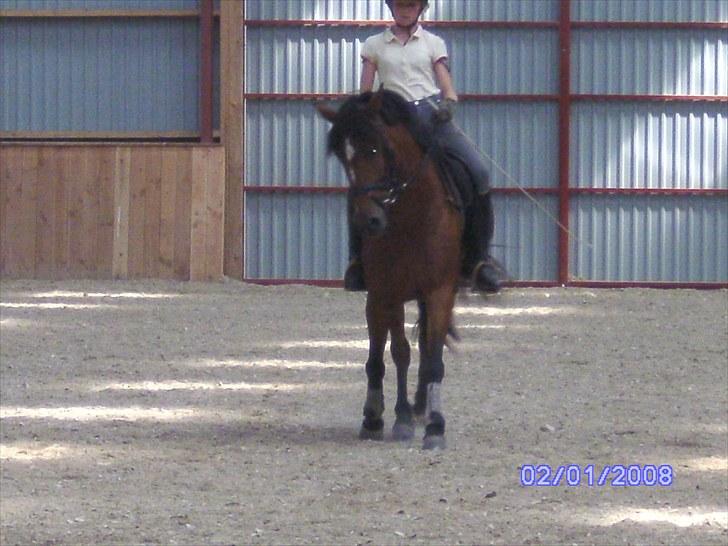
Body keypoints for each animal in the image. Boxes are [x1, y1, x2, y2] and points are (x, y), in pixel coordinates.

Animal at [317, 90, 464, 449]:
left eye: (374, 149)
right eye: (343, 158)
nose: (369, 221)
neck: (413, 217)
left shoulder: (440, 291)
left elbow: (433, 358)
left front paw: (435, 426)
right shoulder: (390, 290)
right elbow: (398, 352)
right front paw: (401, 419)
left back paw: (422, 406)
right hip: (378, 297)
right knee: (377, 354)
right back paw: (376, 416)